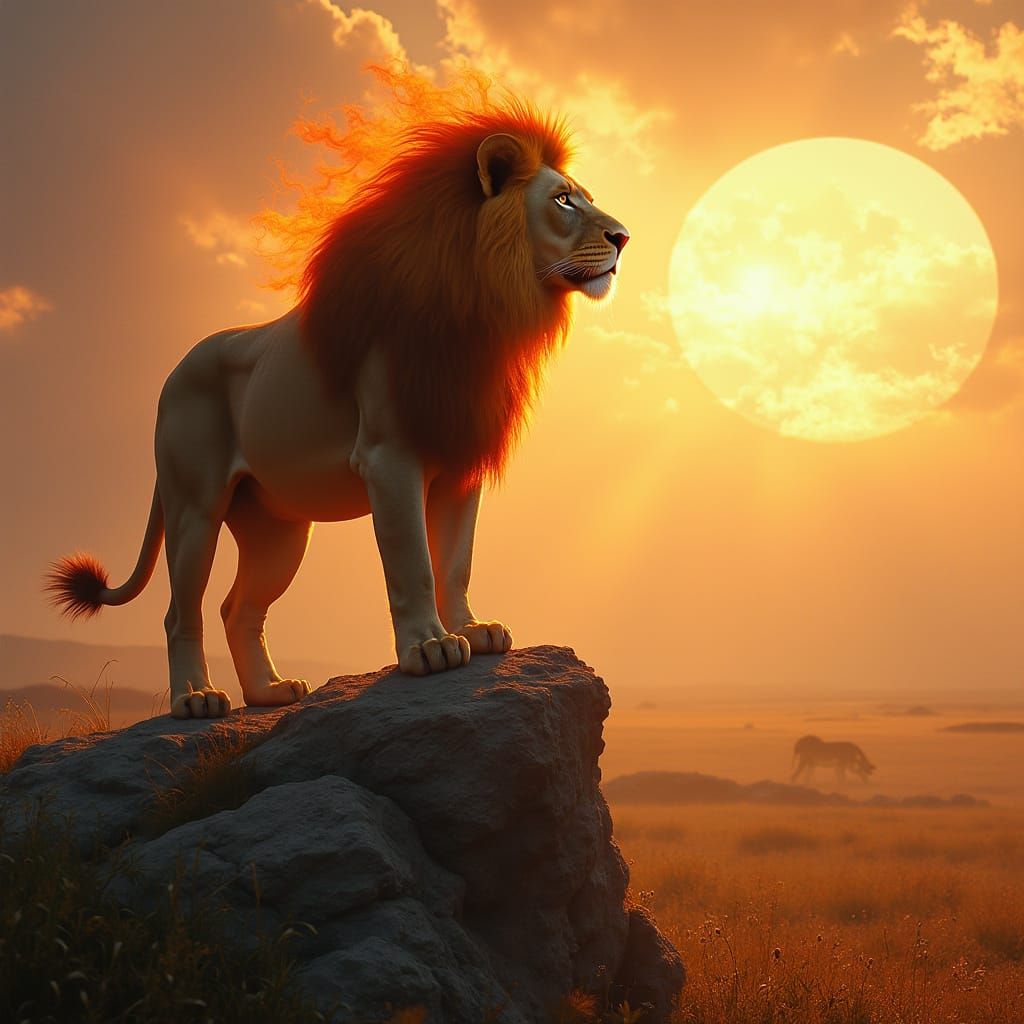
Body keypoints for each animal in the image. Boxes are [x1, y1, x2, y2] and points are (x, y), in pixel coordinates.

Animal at [45, 85, 629, 720]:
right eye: (564, 200)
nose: (624, 237)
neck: (485, 308)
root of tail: (173, 372)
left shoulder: (459, 460)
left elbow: (456, 560)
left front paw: (475, 631)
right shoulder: (388, 457)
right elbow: (413, 562)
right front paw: (429, 648)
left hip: (278, 530)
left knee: (237, 608)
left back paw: (269, 692)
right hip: (193, 506)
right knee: (182, 612)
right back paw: (196, 699)